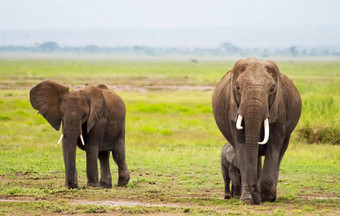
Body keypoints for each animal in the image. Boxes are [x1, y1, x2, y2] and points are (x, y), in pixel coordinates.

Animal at [211, 57, 302, 204]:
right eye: (237, 88)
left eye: (272, 89)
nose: (258, 199)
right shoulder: (234, 109)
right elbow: (242, 146)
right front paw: (248, 200)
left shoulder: (279, 109)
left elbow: (274, 146)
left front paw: (266, 197)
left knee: (279, 153)